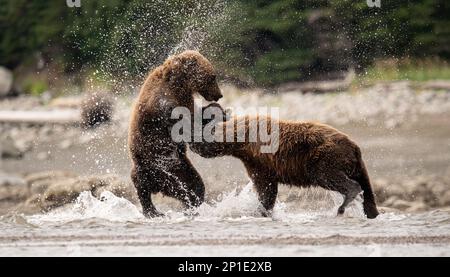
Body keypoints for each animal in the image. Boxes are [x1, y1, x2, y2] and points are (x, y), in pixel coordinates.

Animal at [127, 50, 222, 217]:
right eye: (213, 77)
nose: (219, 95)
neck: (178, 86)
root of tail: (157, 186)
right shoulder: (165, 105)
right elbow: (187, 130)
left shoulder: (186, 100)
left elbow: (197, 116)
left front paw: (218, 111)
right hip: (154, 167)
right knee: (143, 186)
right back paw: (153, 211)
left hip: (180, 167)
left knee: (195, 185)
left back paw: (190, 207)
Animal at [190, 107, 380, 218]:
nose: (193, 145)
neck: (242, 143)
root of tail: (354, 145)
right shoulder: (256, 162)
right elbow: (267, 188)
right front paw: (261, 209)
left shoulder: (259, 154)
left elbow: (265, 185)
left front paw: (258, 210)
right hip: (357, 166)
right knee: (367, 189)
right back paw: (372, 212)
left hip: (324, 156)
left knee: (326, 175)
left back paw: (343, 204)